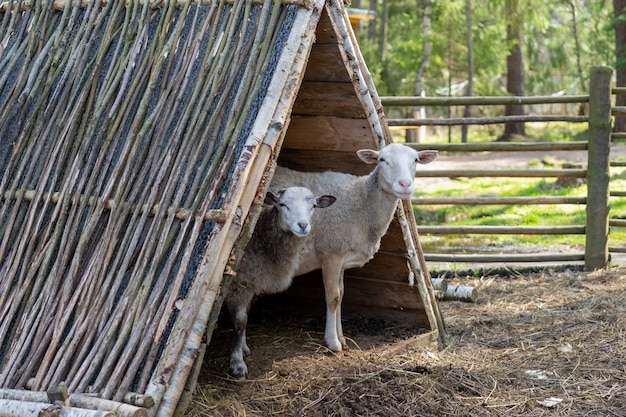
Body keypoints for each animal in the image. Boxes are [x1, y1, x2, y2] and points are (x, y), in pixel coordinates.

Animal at [223, 185, 334, 376]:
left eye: (313, 205)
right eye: (282, 204)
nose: (303, 225)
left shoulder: (248, 285)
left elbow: (246, 316)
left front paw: (243, 348)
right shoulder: (238, 285)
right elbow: (240, 322)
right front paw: (238, 363)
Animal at [270, 142, 438, 352]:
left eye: (415, 160)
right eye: (382, 159)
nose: (405, 184)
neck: (362, 202)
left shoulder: (343, 257)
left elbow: (341, 295)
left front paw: (341, 338)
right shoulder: (331, 252)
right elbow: (333, 297)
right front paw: (333, 343)